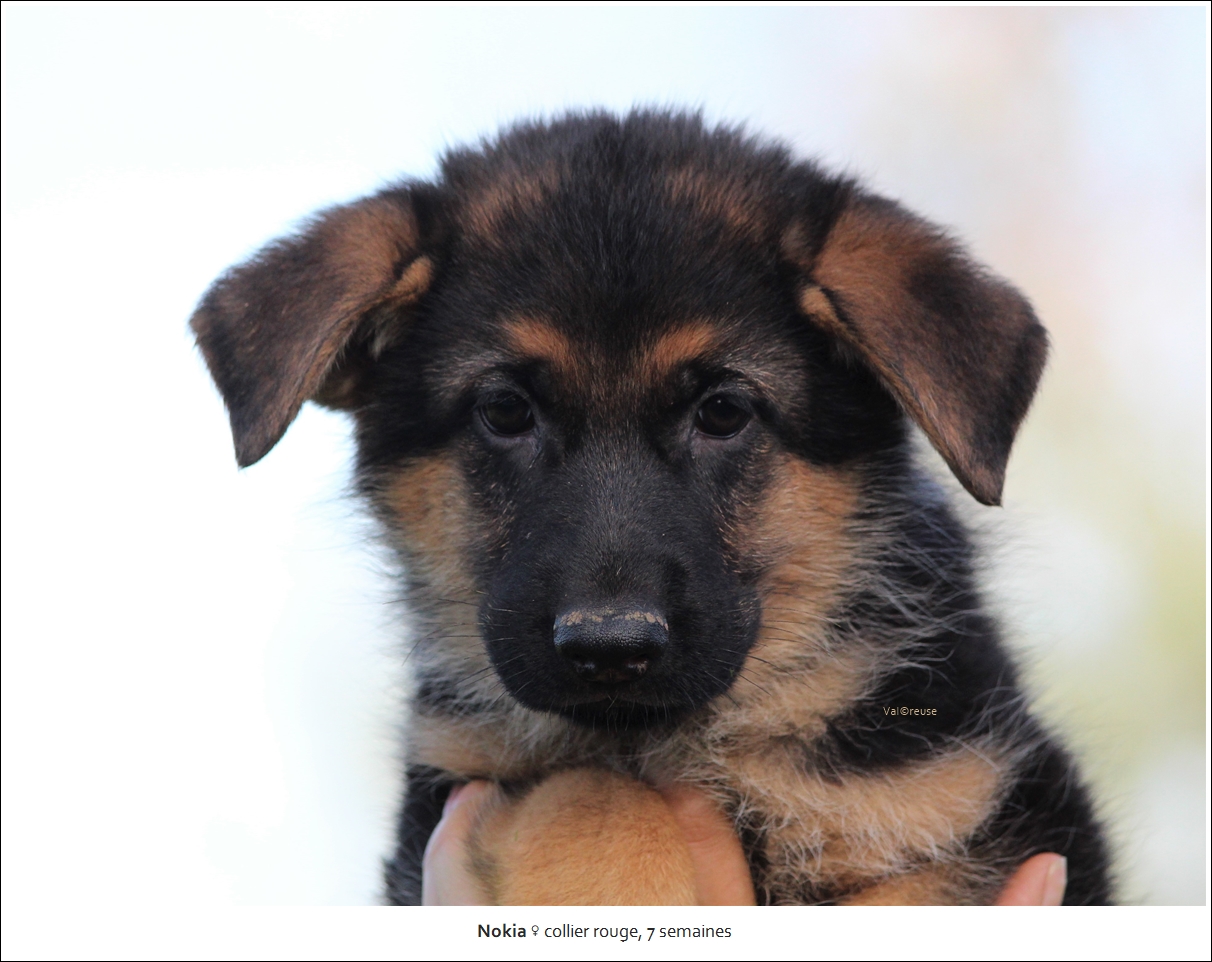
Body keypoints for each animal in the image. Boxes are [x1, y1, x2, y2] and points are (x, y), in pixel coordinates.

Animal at [191, 110, 1112, 905]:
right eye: (504, 411)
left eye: (724, 412)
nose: (610, 648)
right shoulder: (447, 800)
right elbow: (592, 788)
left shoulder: (973, 812)